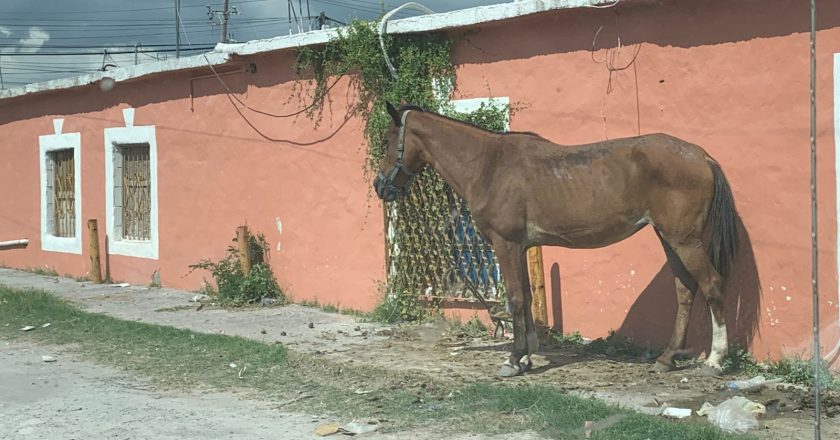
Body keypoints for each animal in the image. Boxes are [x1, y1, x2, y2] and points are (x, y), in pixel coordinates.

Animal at [374, 101, 736, 376]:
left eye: (388, 140)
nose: (380, 186)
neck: (489, 165)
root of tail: (701, 156)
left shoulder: (505, 244)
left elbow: (516, 298)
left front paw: (514, 360)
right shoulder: (521, 247)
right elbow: (526, 297)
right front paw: (528, 354)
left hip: (684, 241)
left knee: (711, 285)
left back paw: (714, 360)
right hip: (669, 237)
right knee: (685, 290)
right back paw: (667, 358)